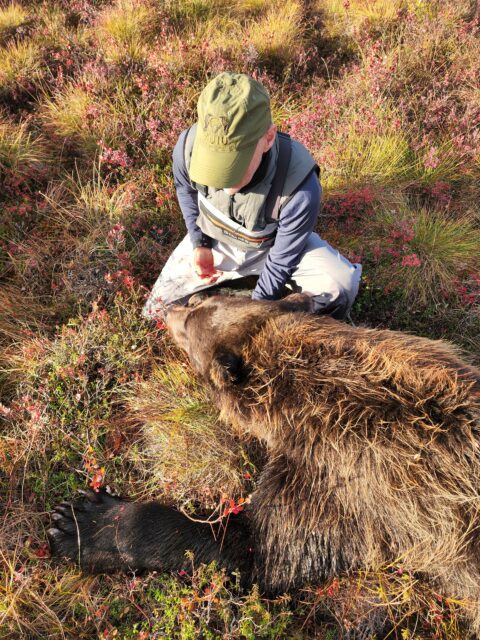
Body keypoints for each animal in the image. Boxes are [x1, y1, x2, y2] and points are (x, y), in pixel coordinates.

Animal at [49, 295, 480, 635]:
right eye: (200, 302)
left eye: (188, 327)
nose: (169, 308)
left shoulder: (349, 473)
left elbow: (263, 549)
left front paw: (82, 520)